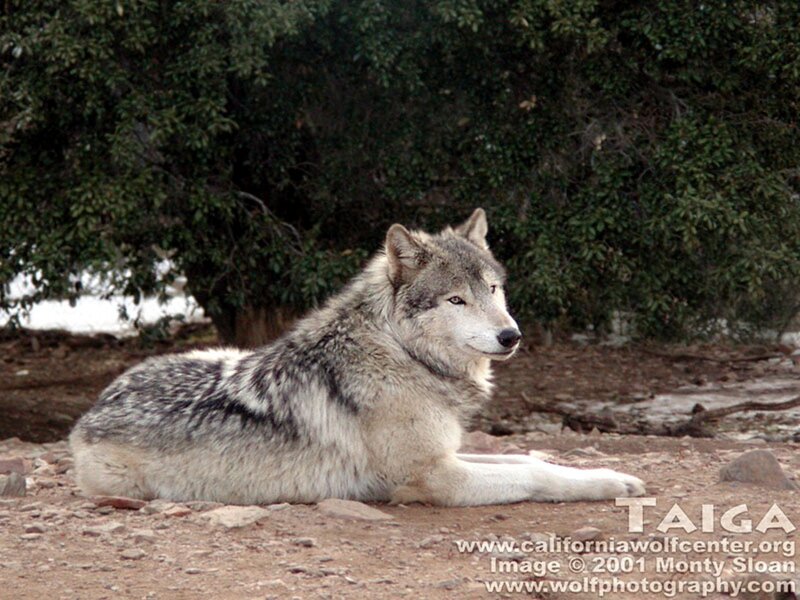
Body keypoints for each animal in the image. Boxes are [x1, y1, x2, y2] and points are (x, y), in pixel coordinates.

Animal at [70, 208, 645, 506]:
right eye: (455, 300)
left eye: (493, 289)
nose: (511, 336)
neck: (401, 354)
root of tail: (92, 409)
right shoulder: (432, 477)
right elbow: (533, 476)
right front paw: (610, 484)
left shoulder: (447, 453)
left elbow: (529, 458)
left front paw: (605, 475)